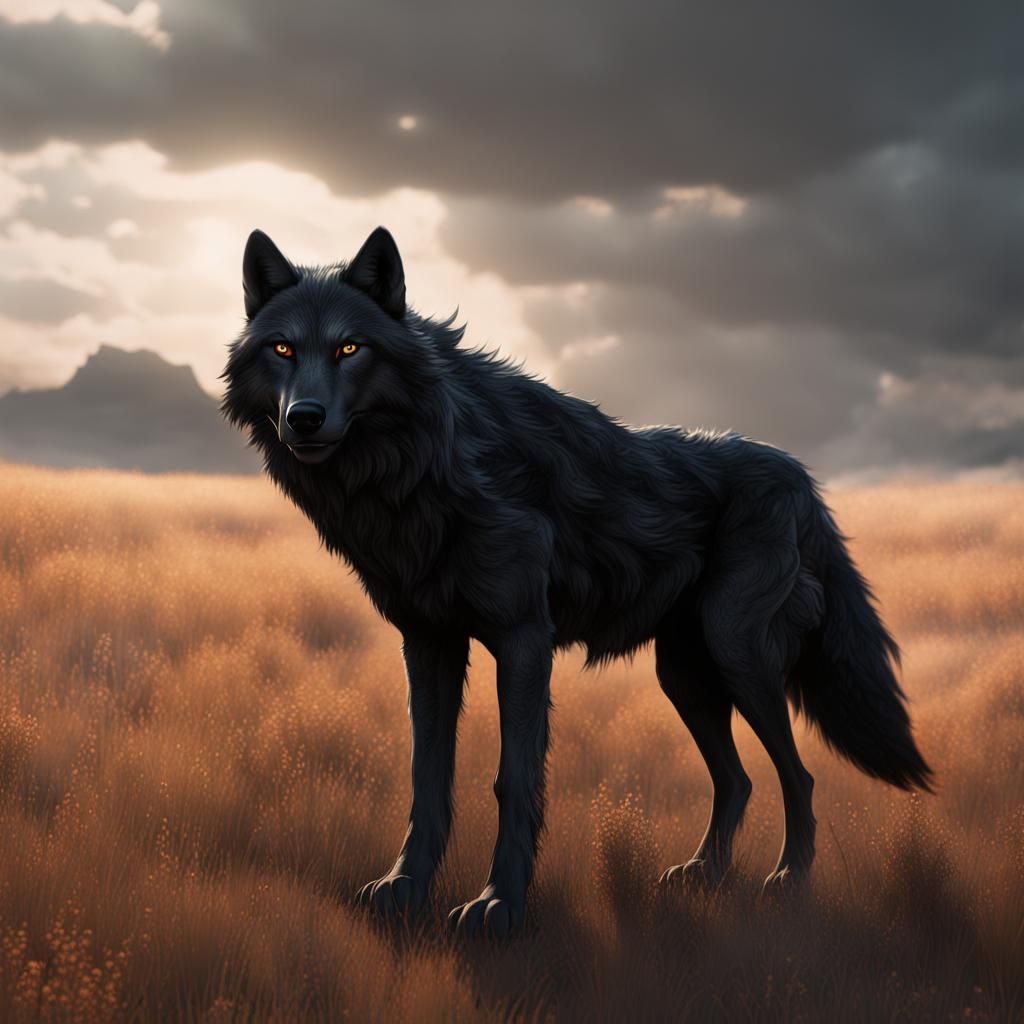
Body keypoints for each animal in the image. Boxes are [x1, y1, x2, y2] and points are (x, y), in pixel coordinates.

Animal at [222, 227, 932, 936]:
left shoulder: (523, 639)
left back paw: (788, 883)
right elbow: (428, 776)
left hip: (739, 658)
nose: (304, 417)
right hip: (685, 677)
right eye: (283, 348)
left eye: (350, 348)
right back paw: (703, 875)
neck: (427, 460)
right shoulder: (428, 643)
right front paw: (406, 887)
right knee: (737, 780)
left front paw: (498, 905)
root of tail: (800, 477)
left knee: (798, 776)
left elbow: (512, 779)